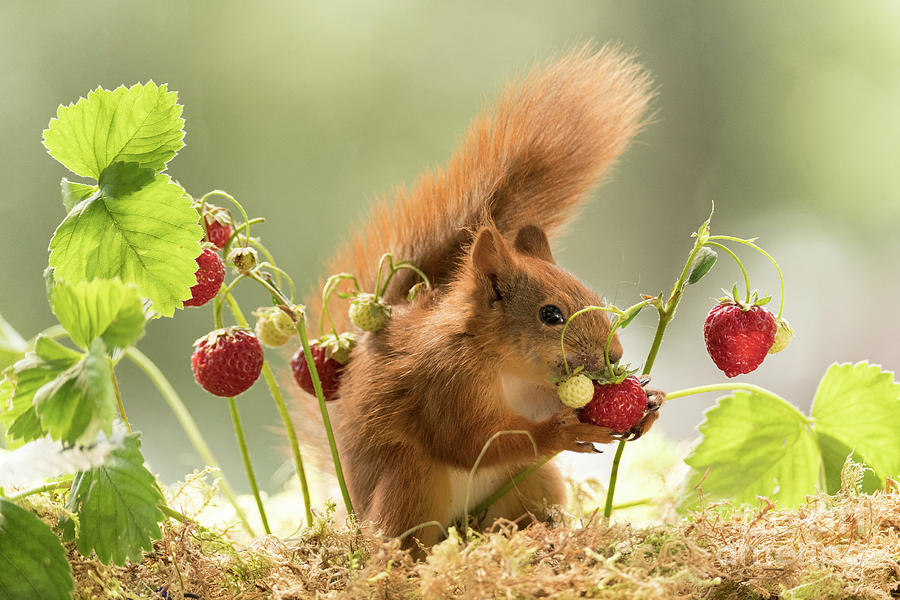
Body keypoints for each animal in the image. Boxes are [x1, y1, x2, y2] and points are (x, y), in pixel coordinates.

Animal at [300, 45, 664, 548]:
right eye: (551, 315)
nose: (616, 355)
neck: (503, 362)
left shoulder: (534, 392)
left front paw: (648, 402)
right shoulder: (444, 383)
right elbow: (471, 442)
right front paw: (563, 430)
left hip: (531, 482)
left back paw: (538, 535)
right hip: (411, 482)